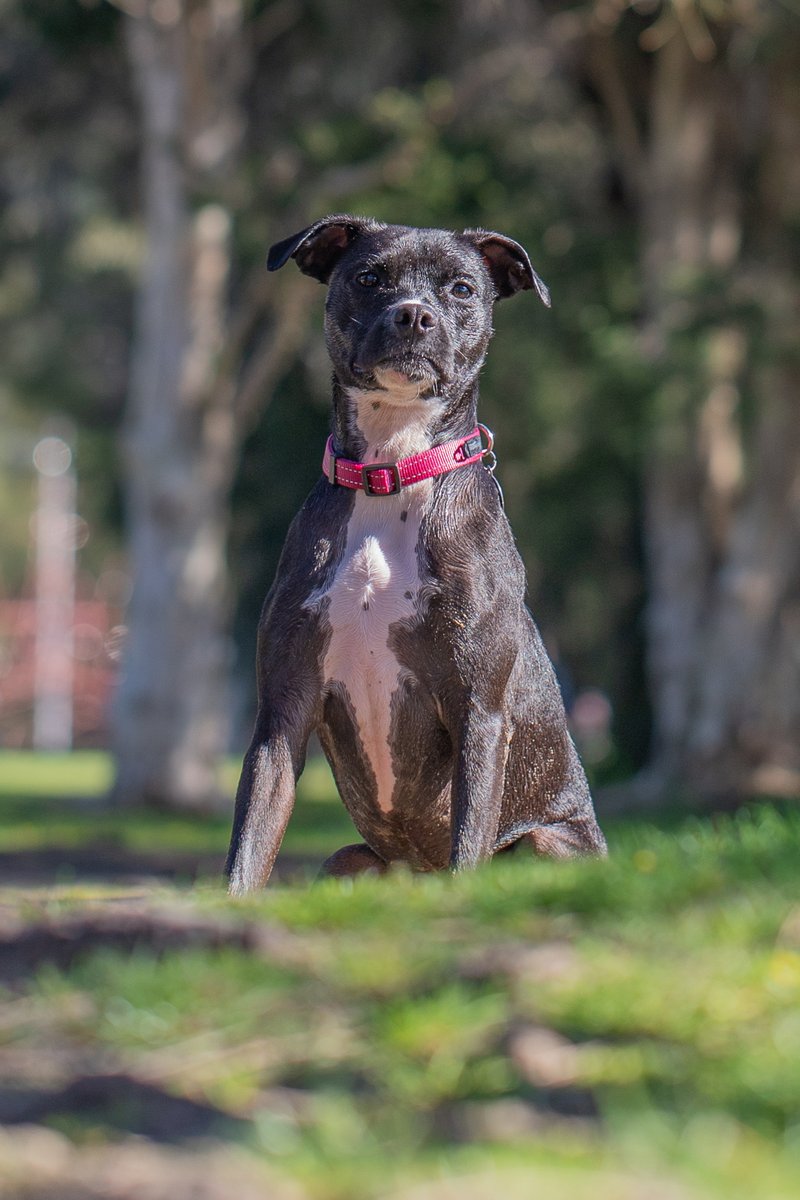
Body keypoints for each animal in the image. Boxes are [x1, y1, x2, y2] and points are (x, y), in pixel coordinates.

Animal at [225, 213, 606, 892]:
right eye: (368, 278)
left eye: (461, 288)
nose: (413, 315)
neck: (393, 469)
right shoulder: (281, 716)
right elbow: (248, 851)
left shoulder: (479, 710)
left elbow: (470, 838)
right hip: (345, 862)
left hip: (545, 842)